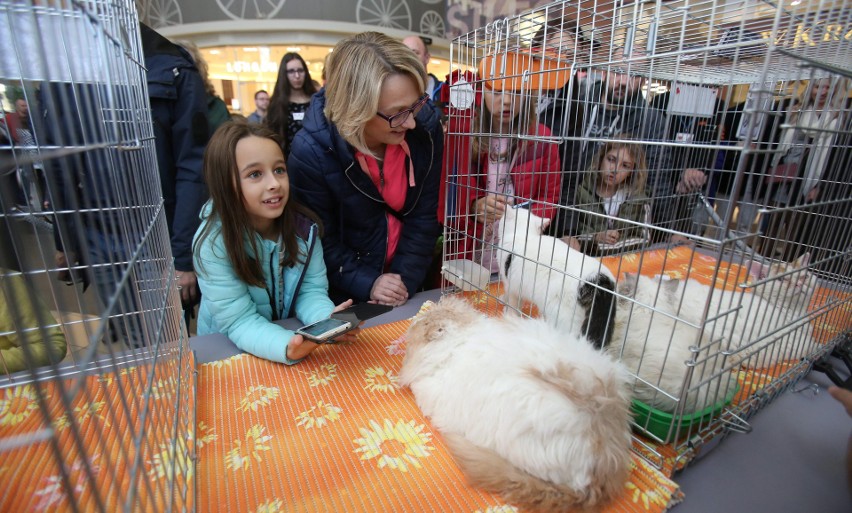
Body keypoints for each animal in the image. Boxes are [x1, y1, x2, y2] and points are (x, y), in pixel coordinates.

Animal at [496, 207, 616, 348]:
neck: (524, 236)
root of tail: (597, 279)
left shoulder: (510, 282)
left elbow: (512, 302)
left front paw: (507, 312)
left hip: (563, 316)